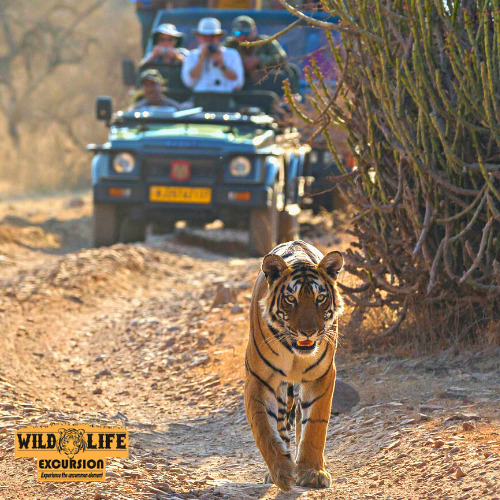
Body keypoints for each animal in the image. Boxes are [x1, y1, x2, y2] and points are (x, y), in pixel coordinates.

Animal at [245, 240, 344, 490]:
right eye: (291, 299)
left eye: (320, 298)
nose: (308, 332)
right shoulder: (259, 379)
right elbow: (264, 428)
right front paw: (282, 471)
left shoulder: (322, 376)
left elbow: (315, 426)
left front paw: (312, 472)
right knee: (281, 423)